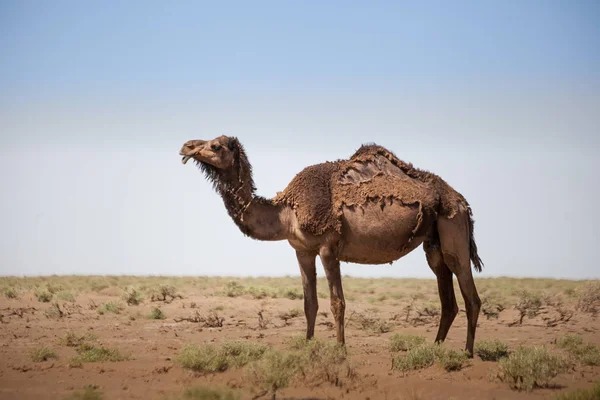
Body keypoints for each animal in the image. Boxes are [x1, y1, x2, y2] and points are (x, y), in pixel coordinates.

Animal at [180, 136, 486, 354]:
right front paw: (307, 344)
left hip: (453, 226)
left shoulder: (329, 248)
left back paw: (467, 353)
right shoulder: (302, 251)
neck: (287, 211)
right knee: (447, 295)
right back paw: (435, 348)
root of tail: (461, 200)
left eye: (215, 145)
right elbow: (309, 303)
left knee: (469, 292)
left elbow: (337, 302)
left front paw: (339, 349)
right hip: (433, 242)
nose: (187, 146)